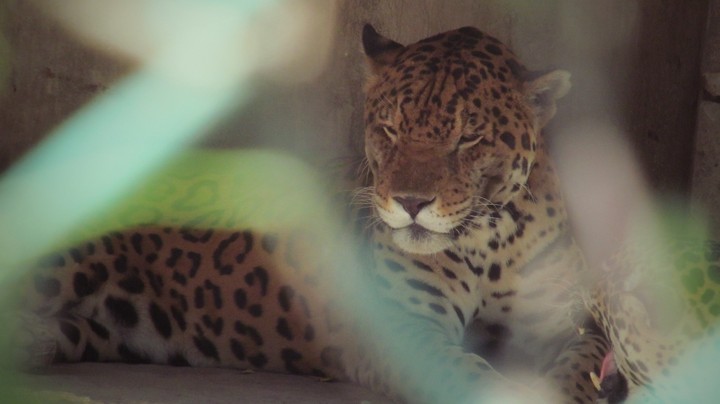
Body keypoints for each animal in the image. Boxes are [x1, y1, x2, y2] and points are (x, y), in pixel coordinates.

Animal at [4, 24, 610, 403]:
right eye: (389, 128)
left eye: (469, 138)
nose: (410, 203)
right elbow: (468, 372)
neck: (491, 242)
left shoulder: (573, 326)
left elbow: (582, 373)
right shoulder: (403, 328)